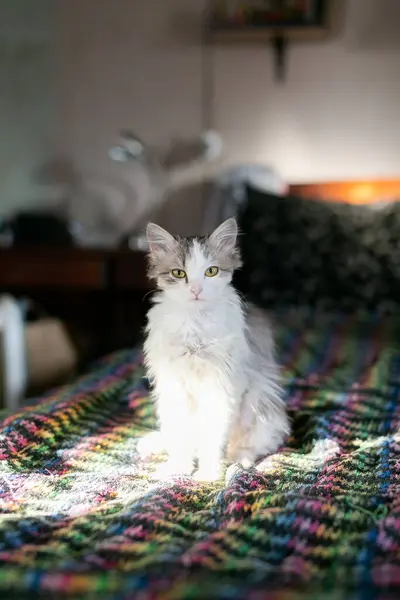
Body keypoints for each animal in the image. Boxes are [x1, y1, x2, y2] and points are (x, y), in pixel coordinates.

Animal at [139, 218, 290, 480]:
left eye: (211, 271)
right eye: (179, 273)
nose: (196, 290)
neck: (195, 325)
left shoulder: (221, 388)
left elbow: (213, 439)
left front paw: (208, 474)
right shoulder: (174, 385)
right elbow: (181, 439)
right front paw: (178, 468)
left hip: (261, 405)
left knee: (256, 444)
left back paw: (242, 460)